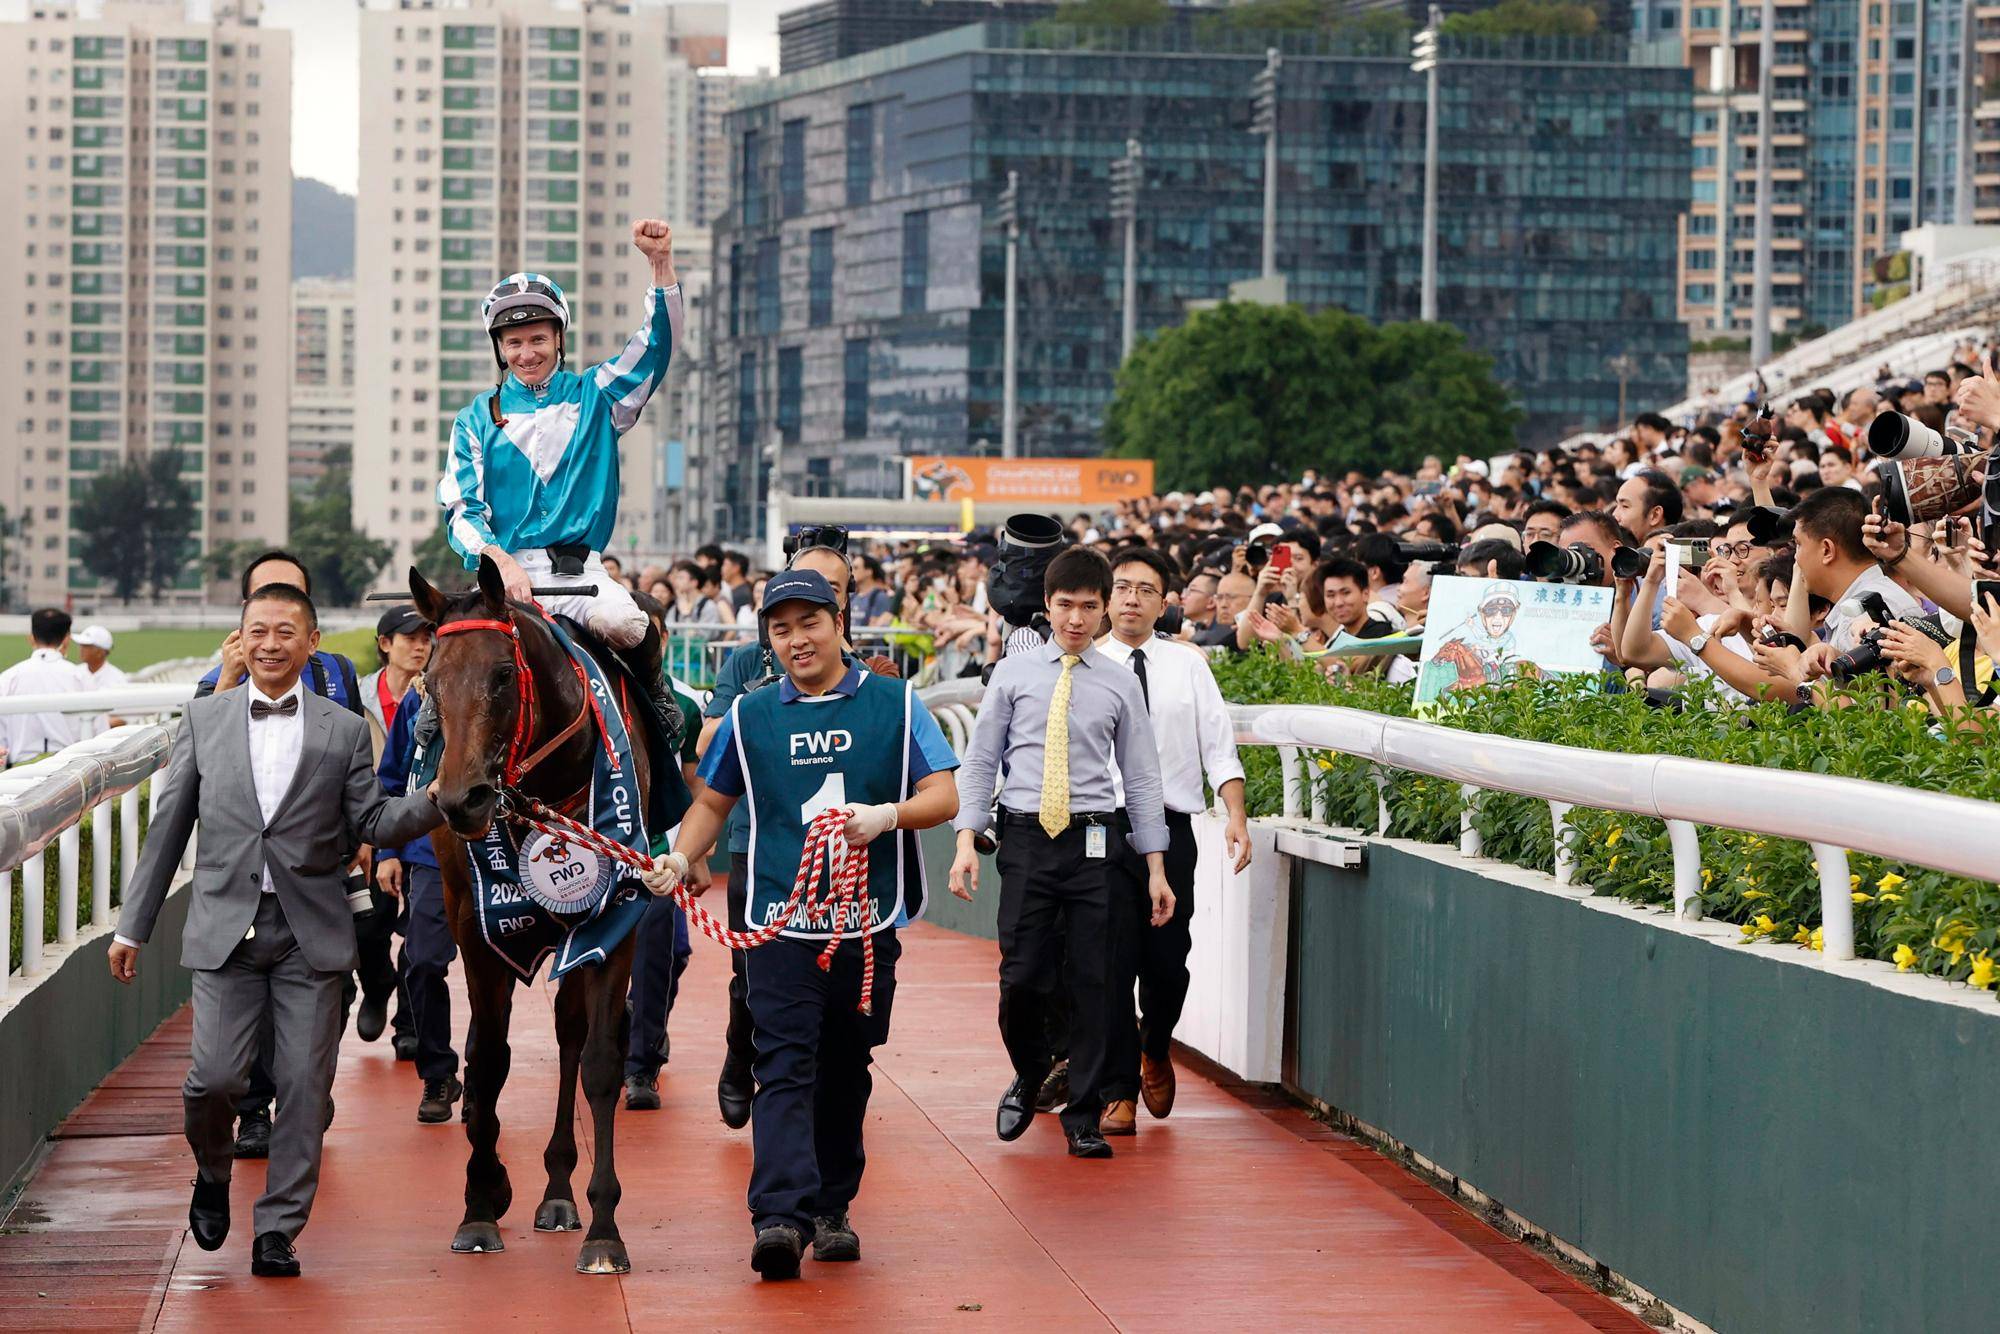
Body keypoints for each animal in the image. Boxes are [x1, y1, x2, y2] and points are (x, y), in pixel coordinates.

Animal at [410, 560, 652, 1280]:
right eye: (430, 680)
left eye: (499, 675)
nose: (460, 799)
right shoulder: (476, 927)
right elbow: (488, 1060)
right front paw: (480, 1203)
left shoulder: (615, 923)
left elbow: (599, 1062)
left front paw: (604, 1228)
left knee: (572, 1036)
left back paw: (560, 1190)